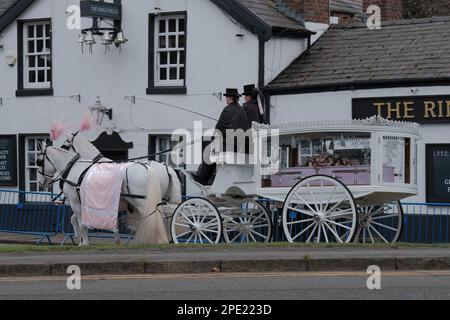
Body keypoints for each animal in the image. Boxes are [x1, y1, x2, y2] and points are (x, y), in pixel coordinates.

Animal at [37, 144, 169, 246]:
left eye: (38, 162)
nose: (40, 183)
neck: (73, 168)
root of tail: (148, 169)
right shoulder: (82, 203)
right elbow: (74, 219)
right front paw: (80, 238)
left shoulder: (75, 202)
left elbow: (81, 222)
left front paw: (84, 242)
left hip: (142, 203)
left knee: (154, 218)